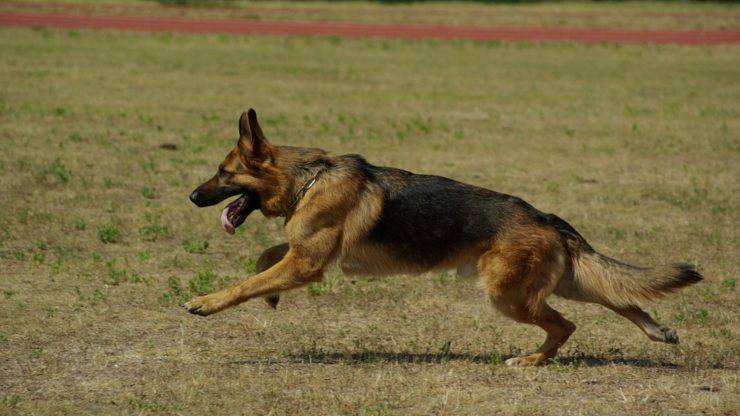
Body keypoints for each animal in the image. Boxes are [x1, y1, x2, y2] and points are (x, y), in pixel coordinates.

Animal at [184, 109, 700, 366]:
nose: (191, 196)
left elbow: (248, 282)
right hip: (560, 281)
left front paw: (207, 302)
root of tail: (548, 218)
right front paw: (269, 296)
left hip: (510, 295)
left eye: (223, 172)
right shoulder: (303, 255)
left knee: (567, 325)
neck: (309, 177)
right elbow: (266, 259)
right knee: (619, 295)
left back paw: (532, 360)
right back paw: (657, 331)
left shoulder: (306, 264)